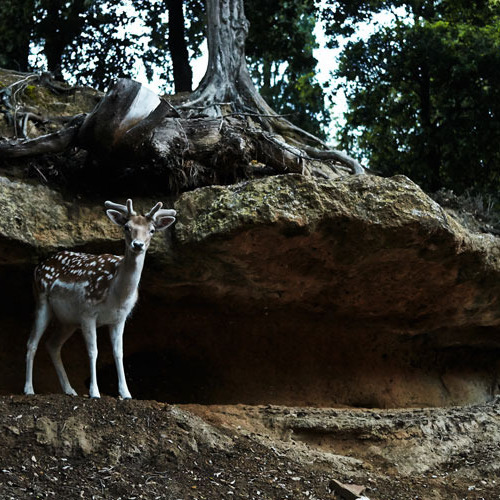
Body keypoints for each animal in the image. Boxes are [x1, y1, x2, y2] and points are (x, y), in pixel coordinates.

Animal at [23, 199, 176, 398]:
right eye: (127, 227)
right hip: (41, 301)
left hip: (68, 321)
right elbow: (93, 351)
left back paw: (70, 390)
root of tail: (38, 267)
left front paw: (126, 393)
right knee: (32, 343)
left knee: (52, 344)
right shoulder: (88, 312)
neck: (115, 295)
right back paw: (29, 389)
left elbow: (118, 352)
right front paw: (95, 392)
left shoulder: (119, 318)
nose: (138, 244)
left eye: (152, 230)